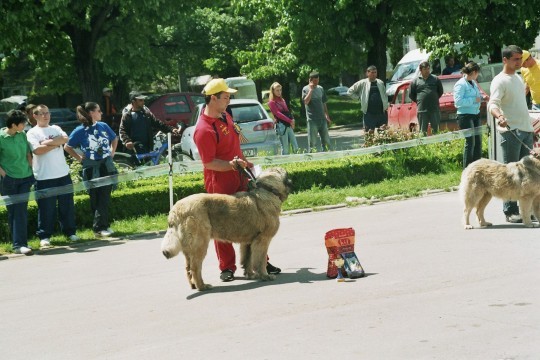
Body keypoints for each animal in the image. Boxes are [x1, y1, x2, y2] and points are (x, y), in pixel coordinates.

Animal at [162, 168, 294, 290]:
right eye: (287, 175)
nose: (291, 180)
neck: (268, 190)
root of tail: (175, 210)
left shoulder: (249, 242)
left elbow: (248, 259)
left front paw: (250, 274)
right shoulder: (263, 240)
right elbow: (260, 261)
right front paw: (265, 276)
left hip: (189, 248)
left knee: (188, 268)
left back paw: (194, 285)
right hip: (200, 244)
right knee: (195, 267)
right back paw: (202, 286)